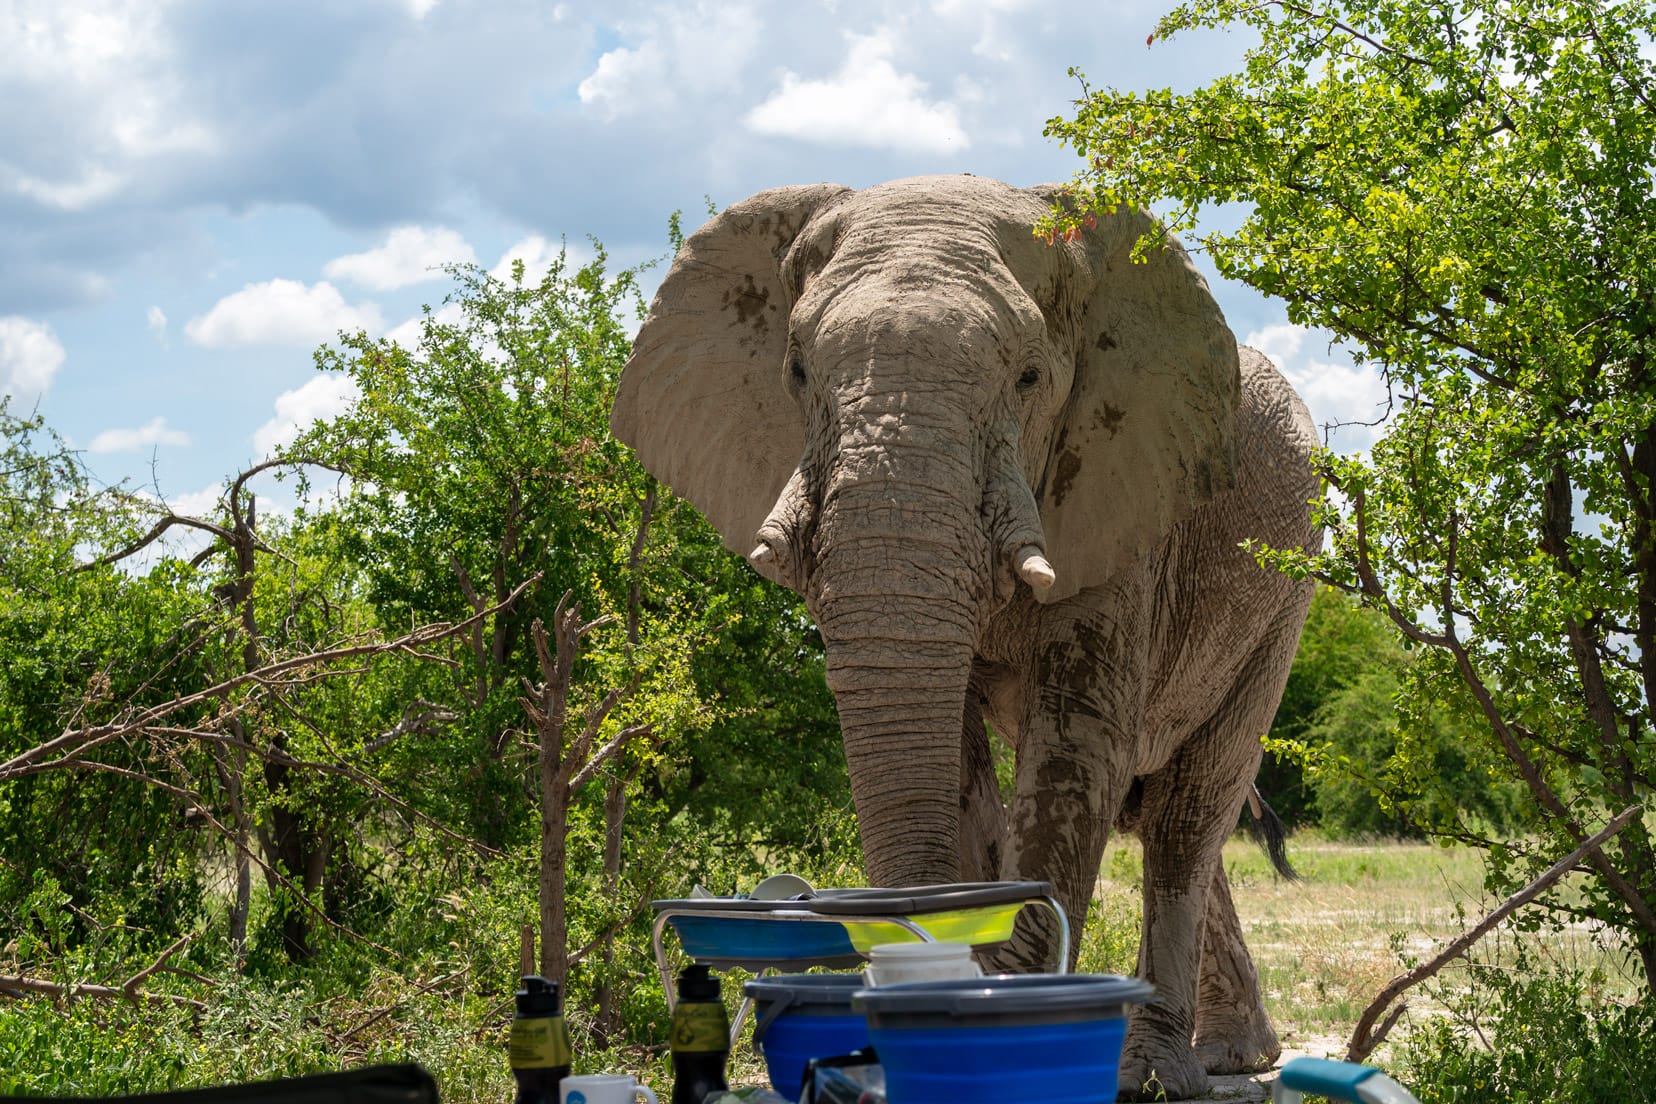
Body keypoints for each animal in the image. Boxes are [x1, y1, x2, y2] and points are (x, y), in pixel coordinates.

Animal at [609, 177, 1318, 1099]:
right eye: (796, 370)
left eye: (1029, 377)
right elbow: (951, 762)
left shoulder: (1125, 498)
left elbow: (1073, 753)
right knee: (1163, 806)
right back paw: (1234, 1057)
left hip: (1286, 594)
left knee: (1189, 810)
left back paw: (1165, 1072)